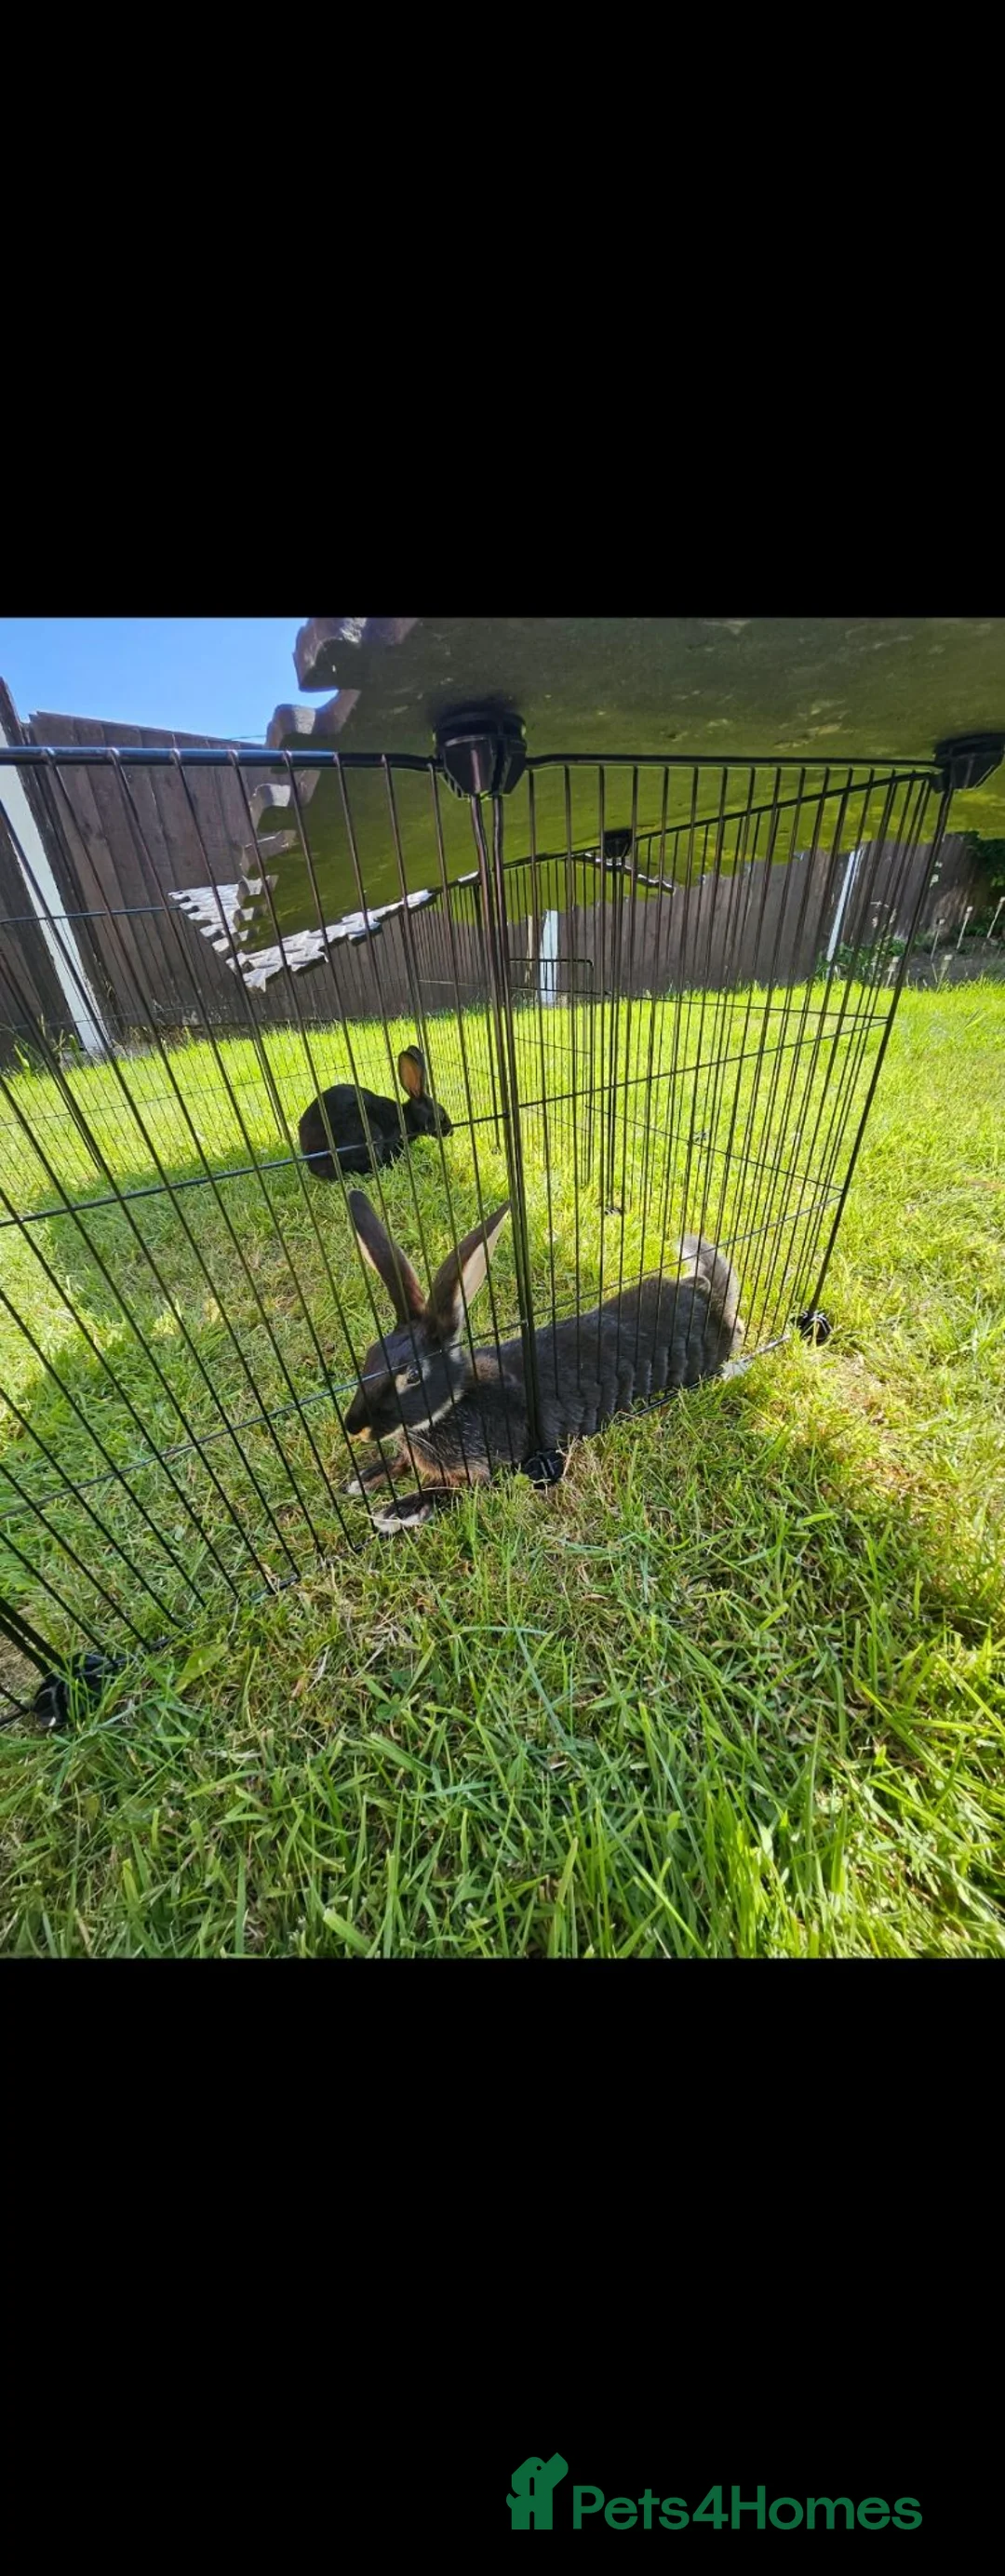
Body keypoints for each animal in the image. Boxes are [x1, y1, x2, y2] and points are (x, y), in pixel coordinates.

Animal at [342, 1187, 745, 1532]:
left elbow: (452, 1490)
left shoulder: (490, 1470)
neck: (454, 1403)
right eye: (371, 1354)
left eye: (412, 1375)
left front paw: (396, 1512)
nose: (354, 1428)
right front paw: (362, 1480)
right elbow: (402, 1462)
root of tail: (714, 1308)